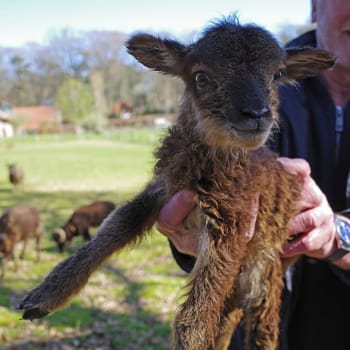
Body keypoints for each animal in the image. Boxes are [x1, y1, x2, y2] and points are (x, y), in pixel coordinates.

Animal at [18, 17, 334, 350]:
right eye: (201, 76)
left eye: (277, 75)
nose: (257, 114)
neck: (205, 167)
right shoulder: (164, 191)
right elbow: (112, 229)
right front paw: (45, 295)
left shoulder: (234, 220)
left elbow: (194, 320)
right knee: (232, 310)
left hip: (268, 260)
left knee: (263, 325)